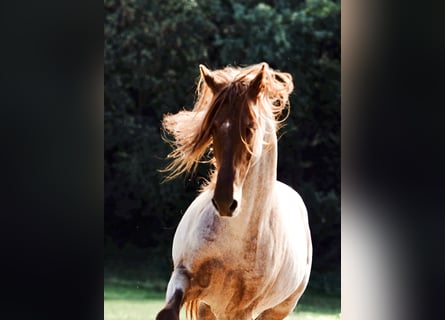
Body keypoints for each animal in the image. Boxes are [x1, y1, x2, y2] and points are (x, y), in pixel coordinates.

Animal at [156, 62, 312, 320]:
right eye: (214, 128)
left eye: (250, 128)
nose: (224, 202)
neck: (234, 239)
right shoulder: (183, 276)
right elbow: (167, 313)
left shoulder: (242, 309)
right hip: (208, 307)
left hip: (275, 311)